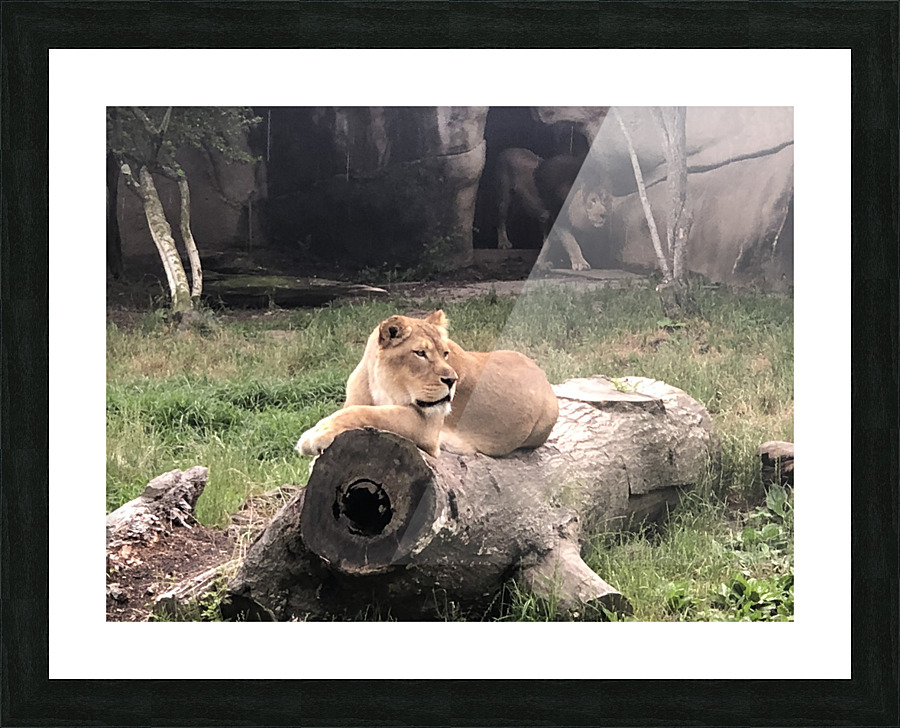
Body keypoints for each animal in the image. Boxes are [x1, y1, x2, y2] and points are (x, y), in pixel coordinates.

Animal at [296, 310, 559, 458]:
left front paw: (315, 436)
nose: (452, 380)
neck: (380, 384)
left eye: (445, 353)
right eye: (421, 353)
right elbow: (352, 410)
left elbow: (367, 413)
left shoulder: (427, 426)